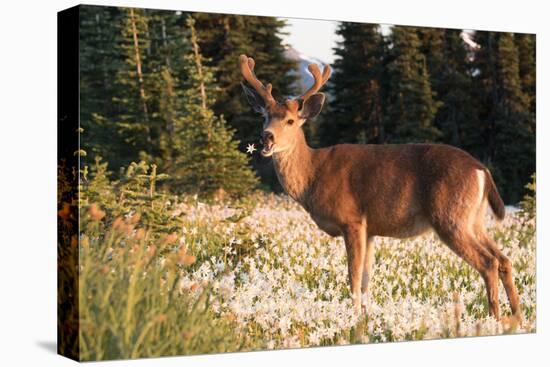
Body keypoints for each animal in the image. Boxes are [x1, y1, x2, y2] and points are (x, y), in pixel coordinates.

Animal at [239, 54, 524, 322]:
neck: (313, 174)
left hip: (450, 217)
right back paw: (517, 317)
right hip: (473, 219)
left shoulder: (352, 220)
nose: (267, 137)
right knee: (504, 259)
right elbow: (367, 278)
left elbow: (353, 276)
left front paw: (353, 317)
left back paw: (494, 318)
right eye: (265, 116)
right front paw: (365, 317)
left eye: (289, 121)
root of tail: (482, 170)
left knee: (488, 262)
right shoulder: (370, 230)